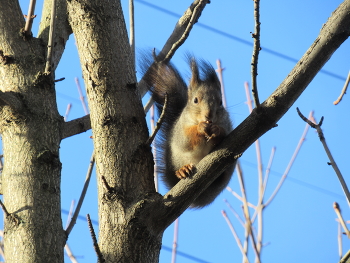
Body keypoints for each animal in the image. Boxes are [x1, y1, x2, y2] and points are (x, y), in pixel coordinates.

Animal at [142, 55, 235, 208]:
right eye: (195, 100)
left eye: (221, 102)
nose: (208, 116)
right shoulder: (181, 131)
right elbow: (186, 140)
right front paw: (200, 128)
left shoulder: (227, 124)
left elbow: (223, 134)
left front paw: (216, 130)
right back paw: (182, 171)